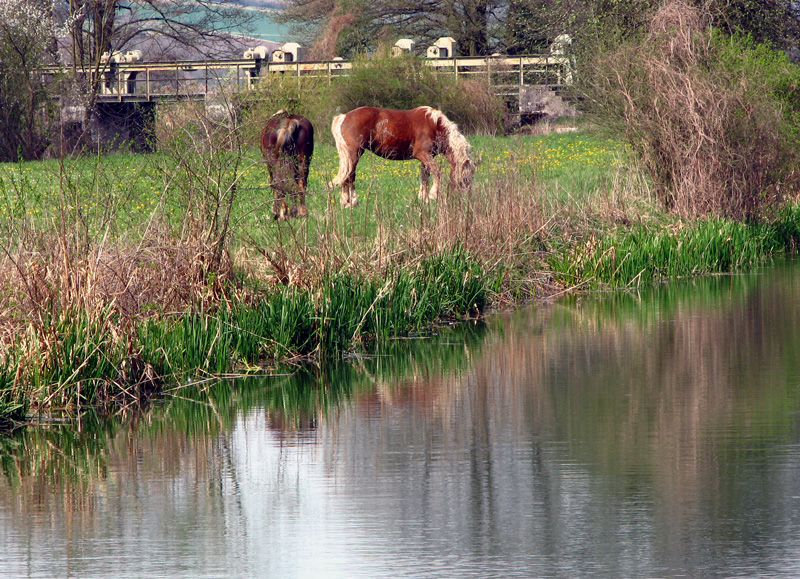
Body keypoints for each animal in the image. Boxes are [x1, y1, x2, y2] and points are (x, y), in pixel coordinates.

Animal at [330, 106, 476, 208]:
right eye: (466, 177)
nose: (466, 198)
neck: (434, 125)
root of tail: (344, 116)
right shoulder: (423, 154)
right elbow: (437, 171)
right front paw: (433, 195)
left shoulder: (426, 158)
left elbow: (425, 176)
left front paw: (424, 199)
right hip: (354, 154)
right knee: (349, 176)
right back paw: (350, 202)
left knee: (348, 175)